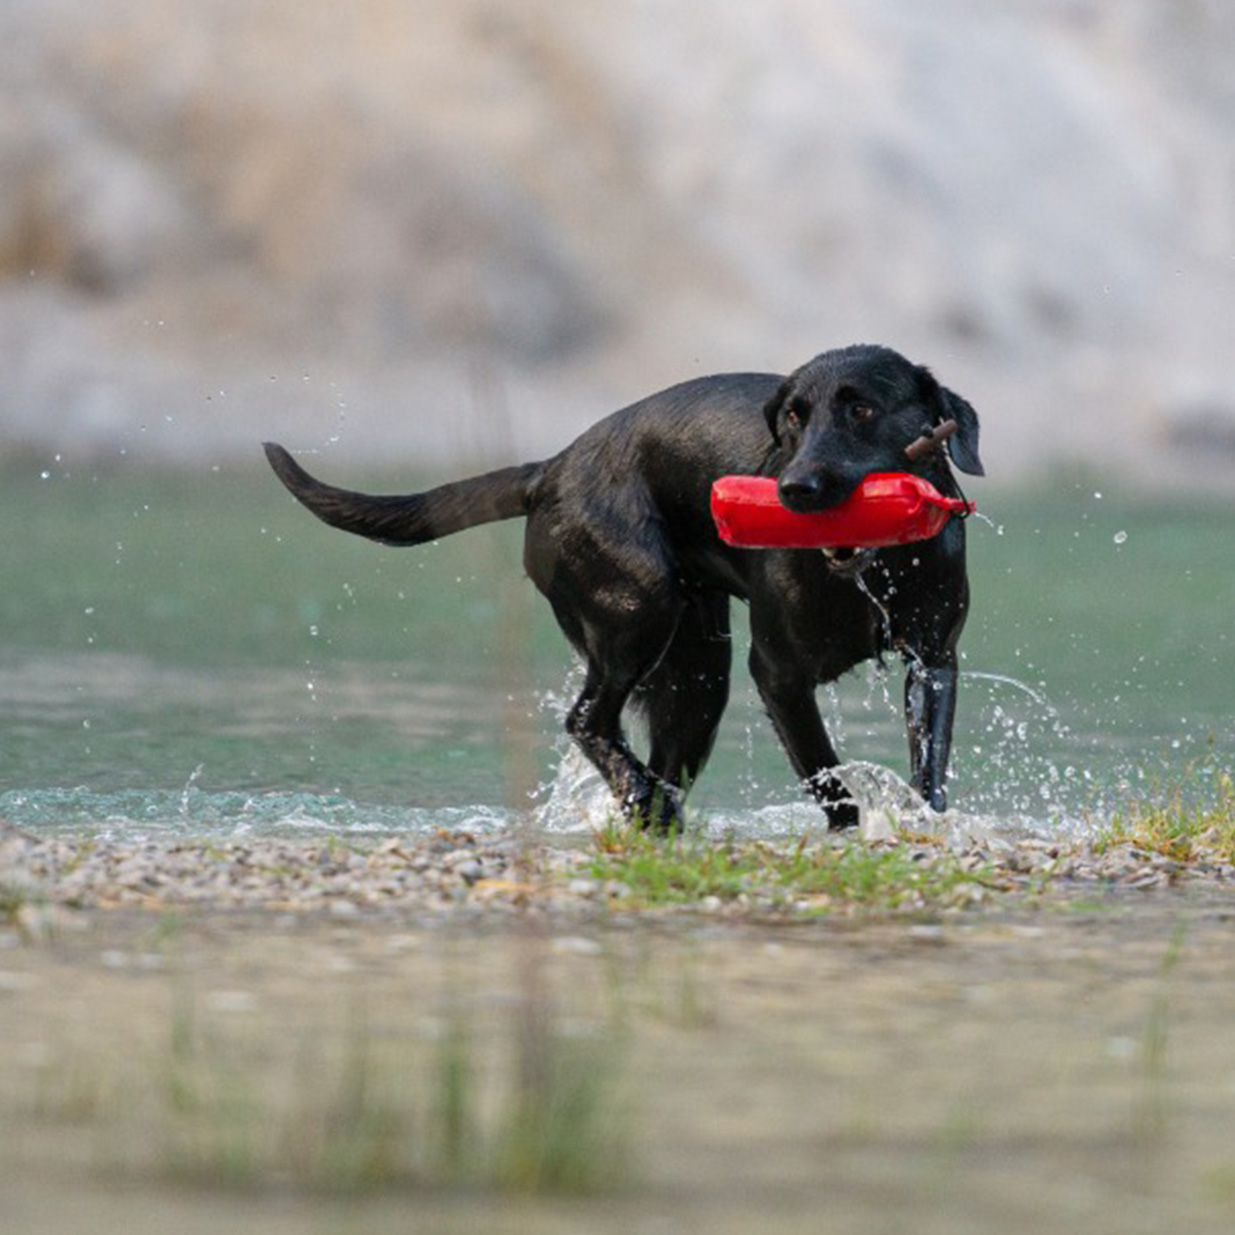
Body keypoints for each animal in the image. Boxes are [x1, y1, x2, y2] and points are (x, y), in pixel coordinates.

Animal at [265, 343, 978, 834]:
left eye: (862, 409)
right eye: (793, 420)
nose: (793, 489)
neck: (870, 574)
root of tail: (549, 469)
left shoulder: (933, 659)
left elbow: (929, 757)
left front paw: (925, 821)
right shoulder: (777, 673)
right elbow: (824, 769)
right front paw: (854, 831)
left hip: (696, 675)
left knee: (653, 751)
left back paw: (652, 811)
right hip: (637, 608)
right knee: (587, 719)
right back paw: (640, 796)